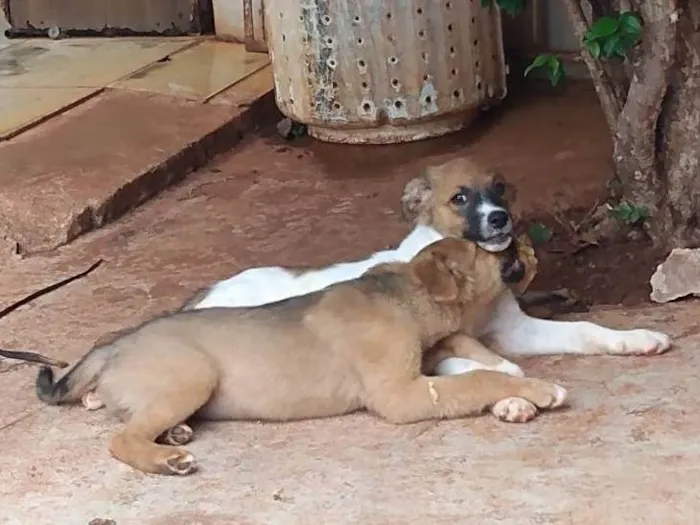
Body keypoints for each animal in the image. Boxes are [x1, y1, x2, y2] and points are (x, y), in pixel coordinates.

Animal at [37, 237, 564, 474]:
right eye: (486, 251)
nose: (520, 244)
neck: (402, 295)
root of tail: (114, 344)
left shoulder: (429, 350)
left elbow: (467, 350)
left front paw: (513, 376)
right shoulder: (400, 394)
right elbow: (474, 379)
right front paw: (537, 388)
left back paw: (176, 433)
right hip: (193, 373)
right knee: (121, 439)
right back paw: (168, 459)